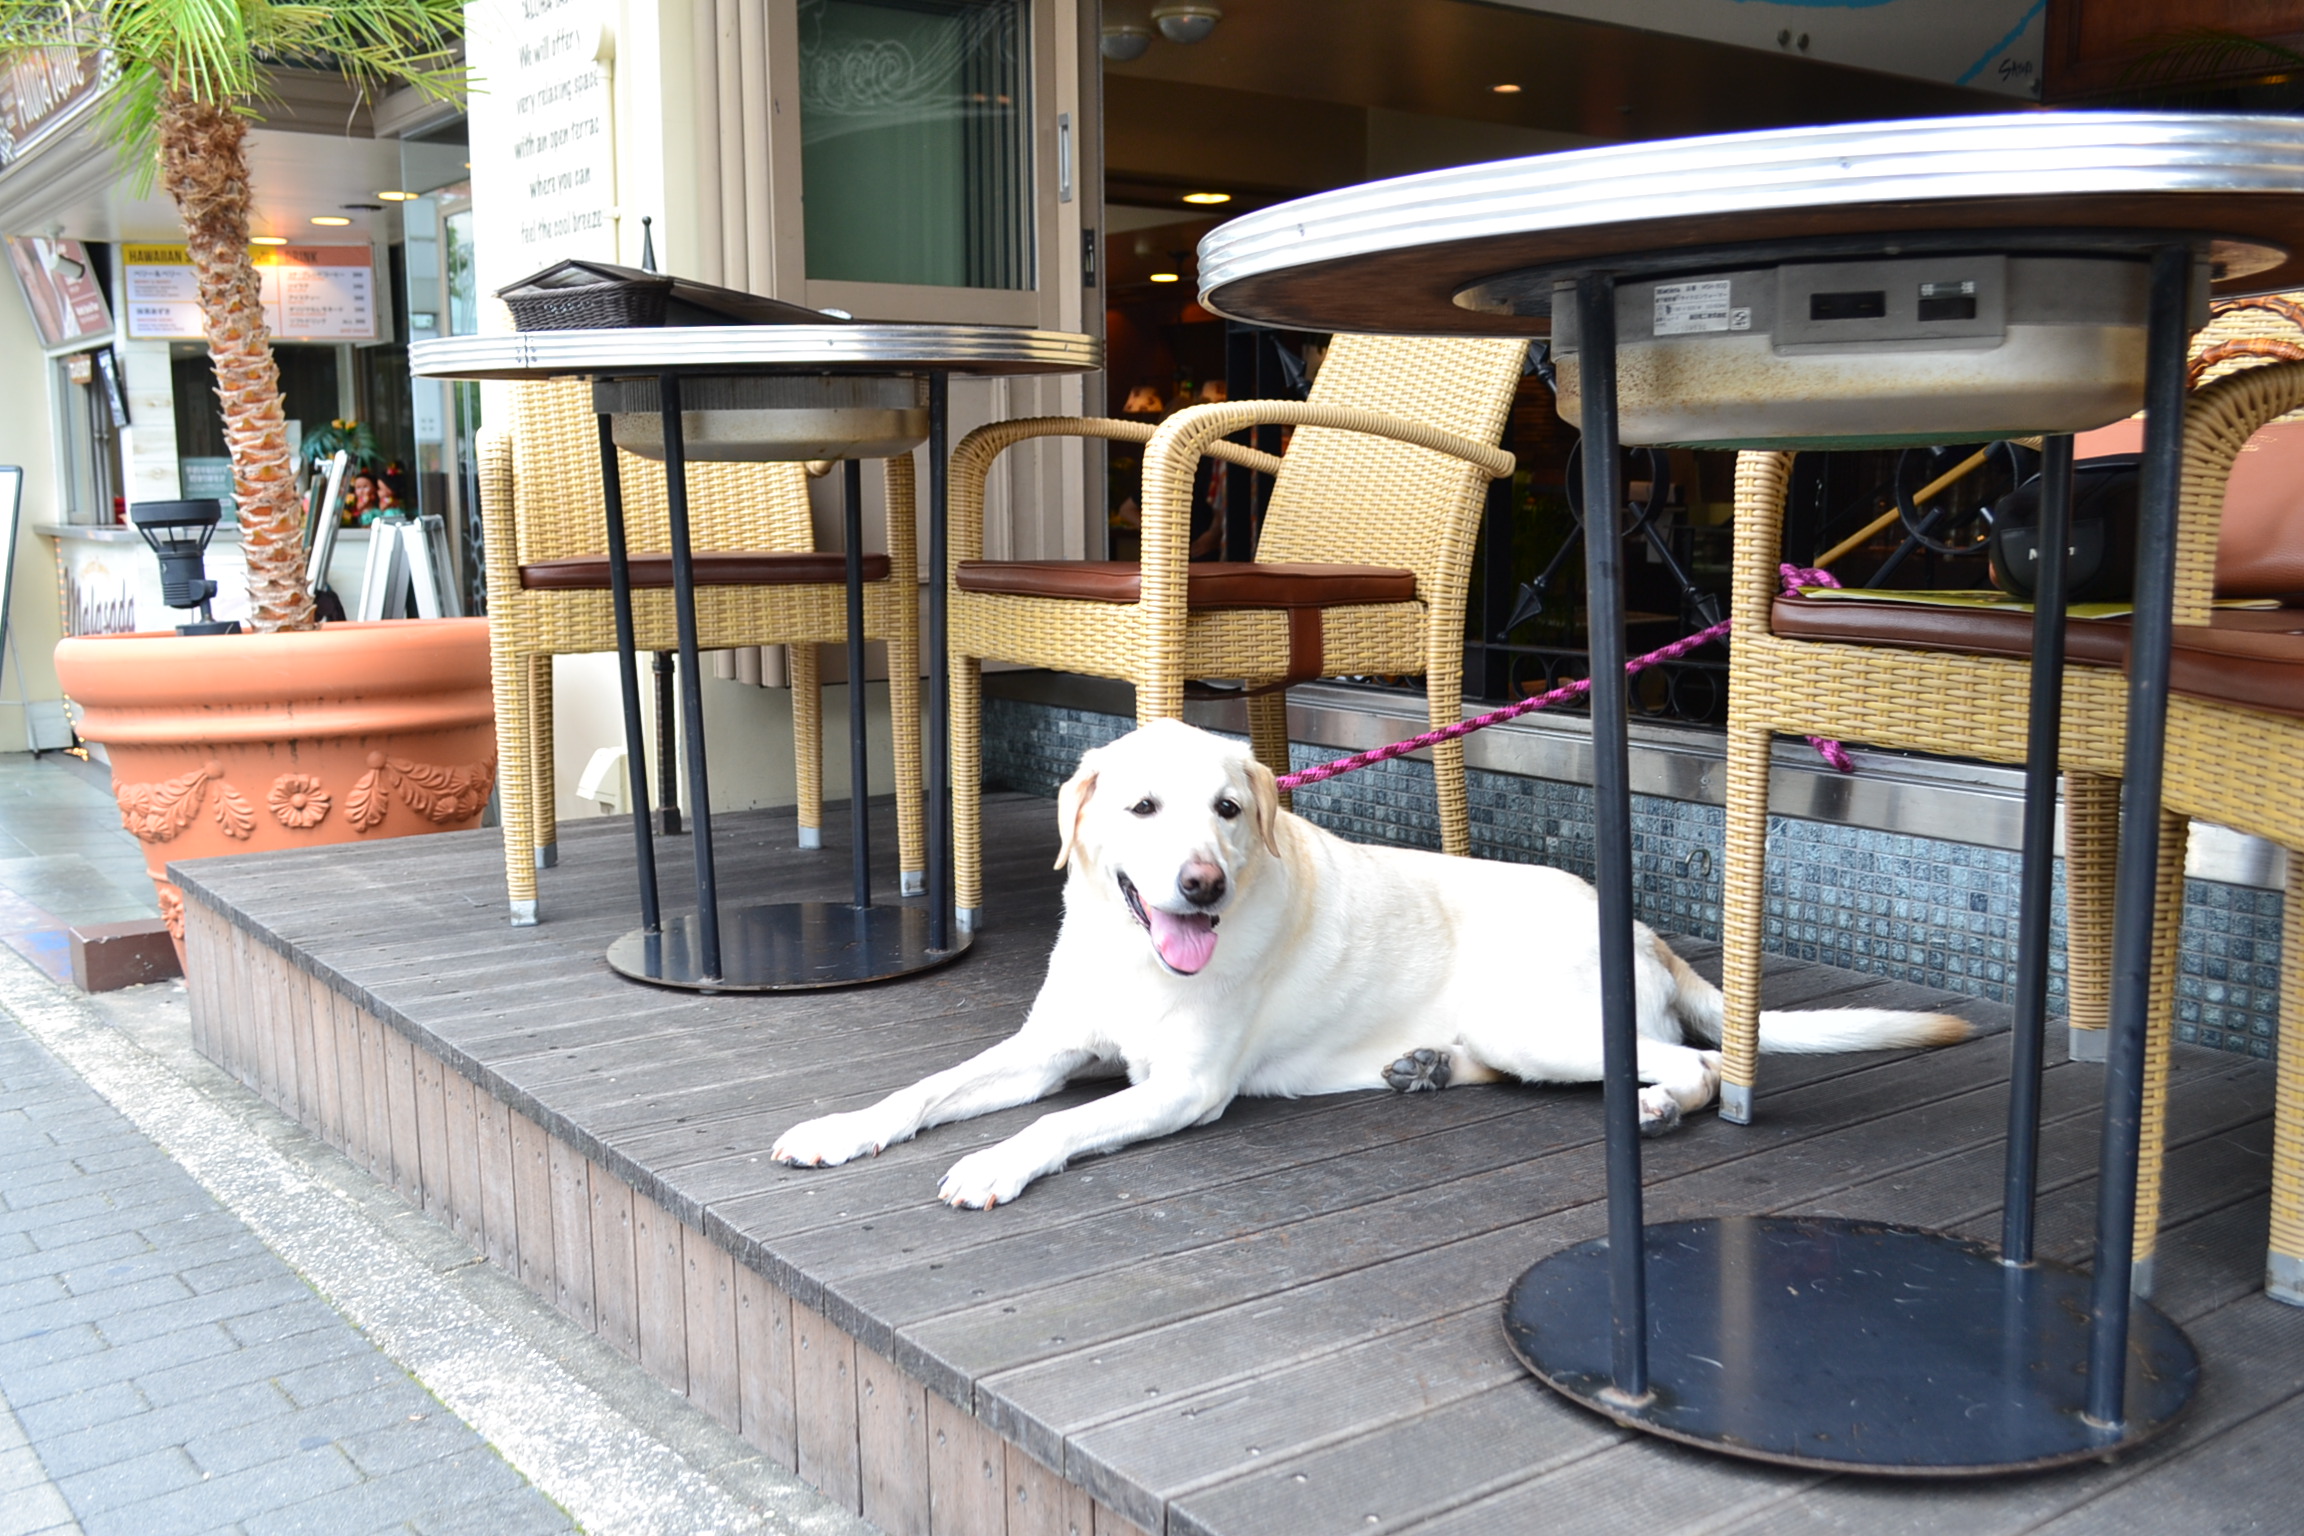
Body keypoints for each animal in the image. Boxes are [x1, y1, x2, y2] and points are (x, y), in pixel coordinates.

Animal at [774, 723, 1963, 1215]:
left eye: (1230, 809)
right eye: (1142, 807)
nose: (1201, 885)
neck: (1134, 952)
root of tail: (1634, 924)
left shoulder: (1183, 1090)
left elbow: (1060, 1124)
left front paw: (995, 1162)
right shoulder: (1043, 1048)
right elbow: (925, 1089)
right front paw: (840, 1128)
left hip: (1539, 1020)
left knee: (1692, 1066)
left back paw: (1654, 1106)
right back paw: (1424, 1069)